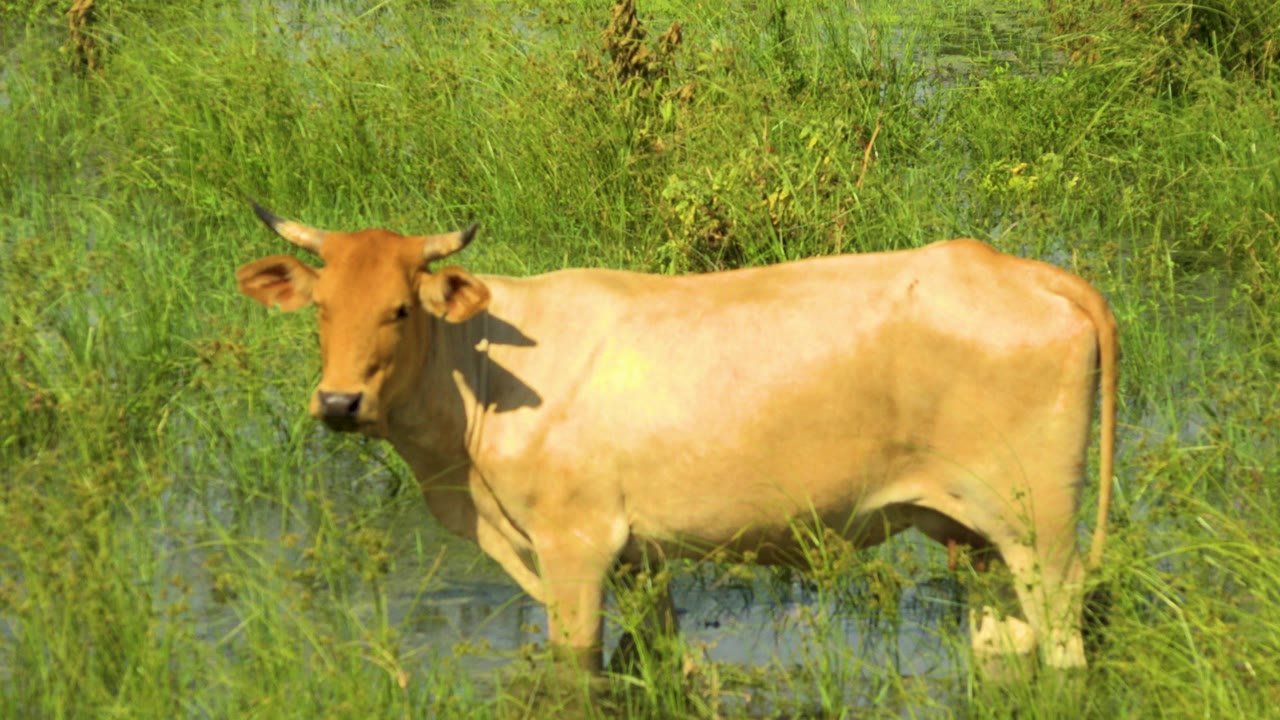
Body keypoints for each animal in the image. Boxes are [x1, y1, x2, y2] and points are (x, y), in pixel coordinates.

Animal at [235, 202, 1117, 676]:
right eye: (322, 310)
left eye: (400, 309)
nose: (338, 401)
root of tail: (1016, 268)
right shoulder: (640, 557)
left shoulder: (574, 546)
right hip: (979, 538)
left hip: (1039, 528)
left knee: (1064, 645)